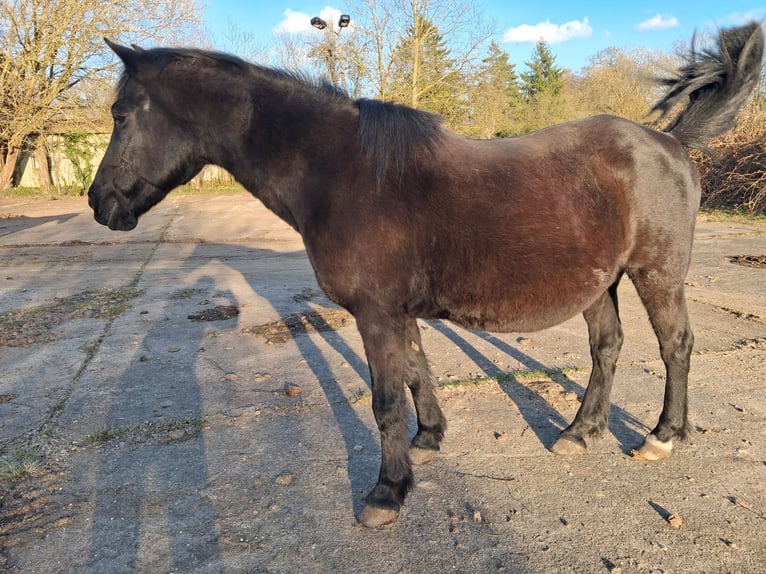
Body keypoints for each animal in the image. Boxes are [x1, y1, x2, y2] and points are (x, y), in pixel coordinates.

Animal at [88, 23, 764, 528]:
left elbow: (386, 400)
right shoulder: (395, 311)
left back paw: (662, 436)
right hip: (600, 282)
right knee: (607, 348)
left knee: (675, 346)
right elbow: (417, 373)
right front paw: (430, 439)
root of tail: (668, 142)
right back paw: (580, 432)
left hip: (656, 274)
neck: (341, 173)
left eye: (121, 115)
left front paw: (386, 492)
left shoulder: (376, 314)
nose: (100, 204)